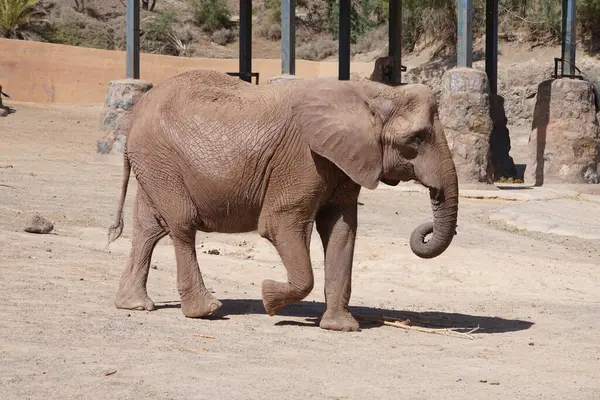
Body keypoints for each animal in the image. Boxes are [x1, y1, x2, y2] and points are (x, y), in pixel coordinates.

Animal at [108, 69, 460, 332]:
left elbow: (342, 229)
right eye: (415, 139)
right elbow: (279, 225)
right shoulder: (302, 159)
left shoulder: (343, 162)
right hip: (161, 159)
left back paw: (134, 305)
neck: (371, 94)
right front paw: (269, 299)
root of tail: (136, 113)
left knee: (148, 229)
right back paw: (205, 310)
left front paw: (341, 327)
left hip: (154, 165)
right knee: (182, 225)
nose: (424, 228)